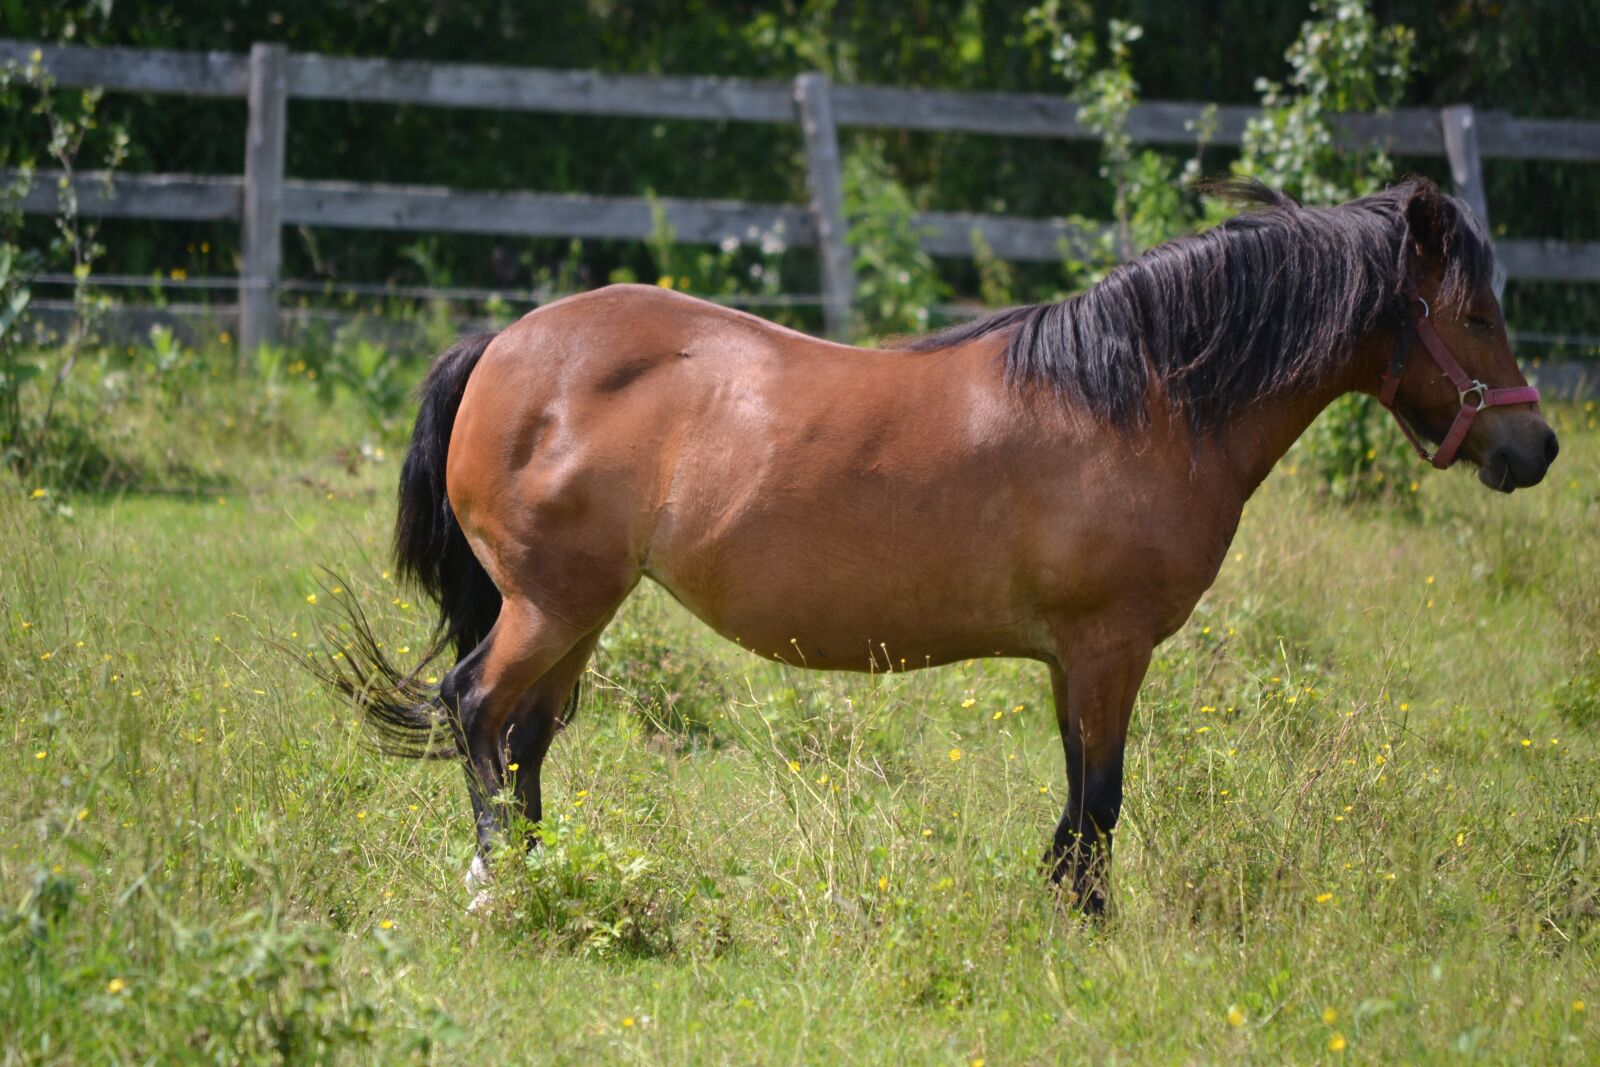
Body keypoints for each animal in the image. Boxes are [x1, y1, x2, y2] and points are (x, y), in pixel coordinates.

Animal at [315, 177, 1558, 914]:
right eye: (1474, 314)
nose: (1536, 445)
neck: (1138, 400)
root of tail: (503, 343)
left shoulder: (1072, 660)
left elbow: (1076, 796)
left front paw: (1059, 905)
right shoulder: (1109, 649)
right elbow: (1100, 797)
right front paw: (1086, 922)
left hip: (581, 608)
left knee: (525, 735)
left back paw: (544, 873)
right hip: (551, 604)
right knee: (480, 709)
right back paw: (497, 882)